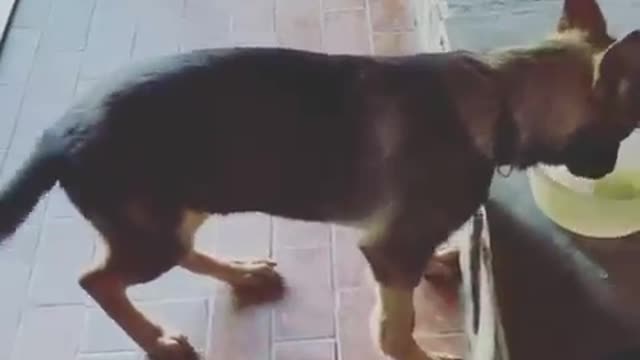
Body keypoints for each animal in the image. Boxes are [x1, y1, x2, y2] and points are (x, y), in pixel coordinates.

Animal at [1, 0, 640, 360]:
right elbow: (396, 327)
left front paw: (438, 261)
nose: (606, 172)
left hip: (178, 208)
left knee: (170, 254)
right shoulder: (387, 251)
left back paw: (241, 273)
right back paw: (156, 340)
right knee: (96, 280)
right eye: (626, 127)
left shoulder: (399, 242)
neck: (500, 96)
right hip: (153, 228)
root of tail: (54, 132)